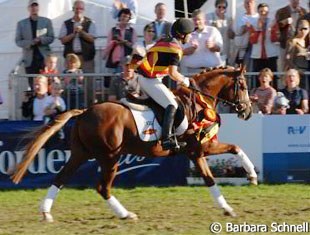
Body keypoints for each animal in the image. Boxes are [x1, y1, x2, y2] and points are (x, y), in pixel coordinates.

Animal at [11, 66, 256, 222]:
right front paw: (242, 188)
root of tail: (85, 111)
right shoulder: (198, 149)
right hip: (110, 157)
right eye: (243, 85)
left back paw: (46, 213)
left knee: (61, 178)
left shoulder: (198, 151)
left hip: (81, 154)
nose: (247, 112)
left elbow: (223, 162)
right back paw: (125, 214)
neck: (199, 100)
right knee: (102, 187)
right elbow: (222, 165)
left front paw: (236, 195)